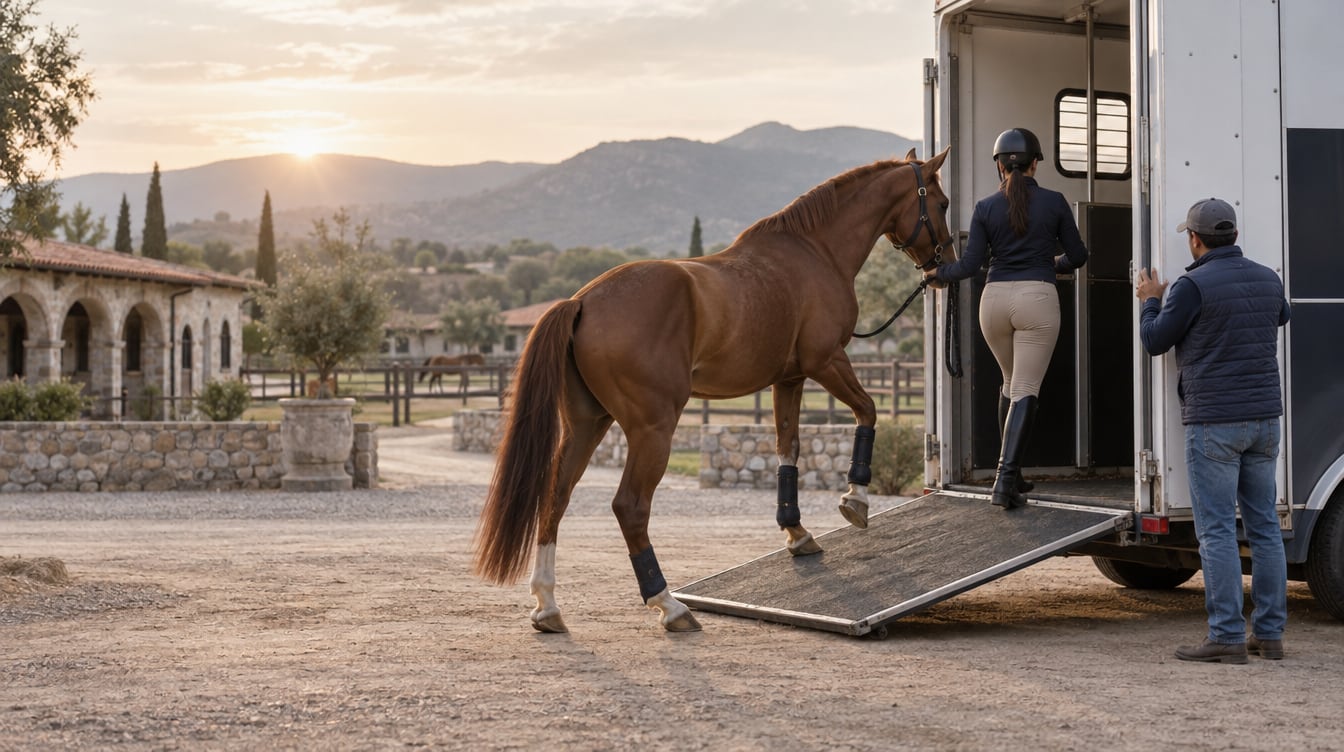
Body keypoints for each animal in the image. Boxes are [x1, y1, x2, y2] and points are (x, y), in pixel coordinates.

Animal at [474, 147, 954, 633]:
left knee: (556, 495)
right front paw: (855, 500)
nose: (943, 266)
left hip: (587, 424)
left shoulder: (789, 379)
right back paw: (668, 604)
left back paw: (547, 605)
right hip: (652, 430)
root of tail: (582, 301)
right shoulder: (827, 361)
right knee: (630, 506)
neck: (815, 252)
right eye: (942, 202)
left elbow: (788, 449)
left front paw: (797, 533)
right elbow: (867, 412)